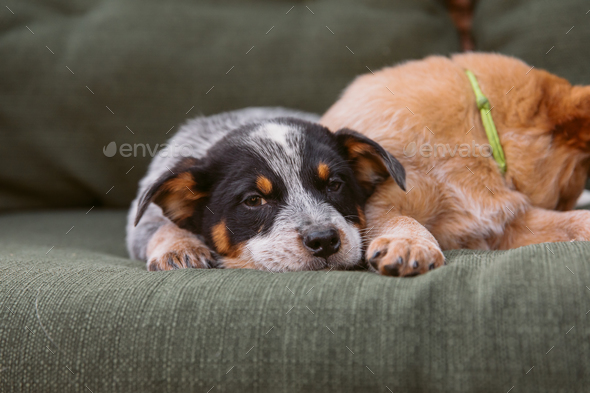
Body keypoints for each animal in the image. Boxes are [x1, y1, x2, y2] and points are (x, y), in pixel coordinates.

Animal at [322, 53, 590, 278]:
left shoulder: (504, 227)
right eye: (567, 192)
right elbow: (401, 219)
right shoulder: (383, 201)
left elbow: (574, 220)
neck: (479, 127)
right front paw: (409, 244)